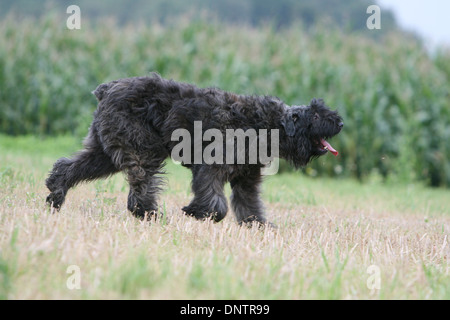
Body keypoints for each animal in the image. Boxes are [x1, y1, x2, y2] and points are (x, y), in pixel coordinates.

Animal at [45, 74, 342, 226]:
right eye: (316, 115)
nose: (340, 122)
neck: (266, 124)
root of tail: (107, 89)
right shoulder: (211, 166)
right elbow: (215, 200)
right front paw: (198, 213)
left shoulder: (246, 179)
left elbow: (248, 203)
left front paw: (258, 226)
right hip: (141, 149)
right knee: (142, 181)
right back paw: (147, 212)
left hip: (104, 153)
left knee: (69, 167)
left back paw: (55, 196)